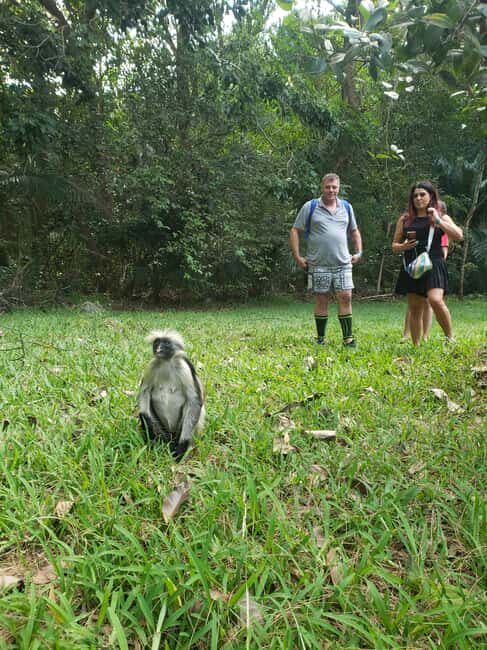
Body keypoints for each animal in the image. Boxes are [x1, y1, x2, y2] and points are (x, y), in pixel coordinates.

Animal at [137, 329, 205, 461]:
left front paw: (182, 447)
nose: (158, 348)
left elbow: (194, 401)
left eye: (166, 343)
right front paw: (149, 430)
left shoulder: (183, 366)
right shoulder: (152, 365)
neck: (166, 362)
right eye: (157, 342)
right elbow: (144, 393)